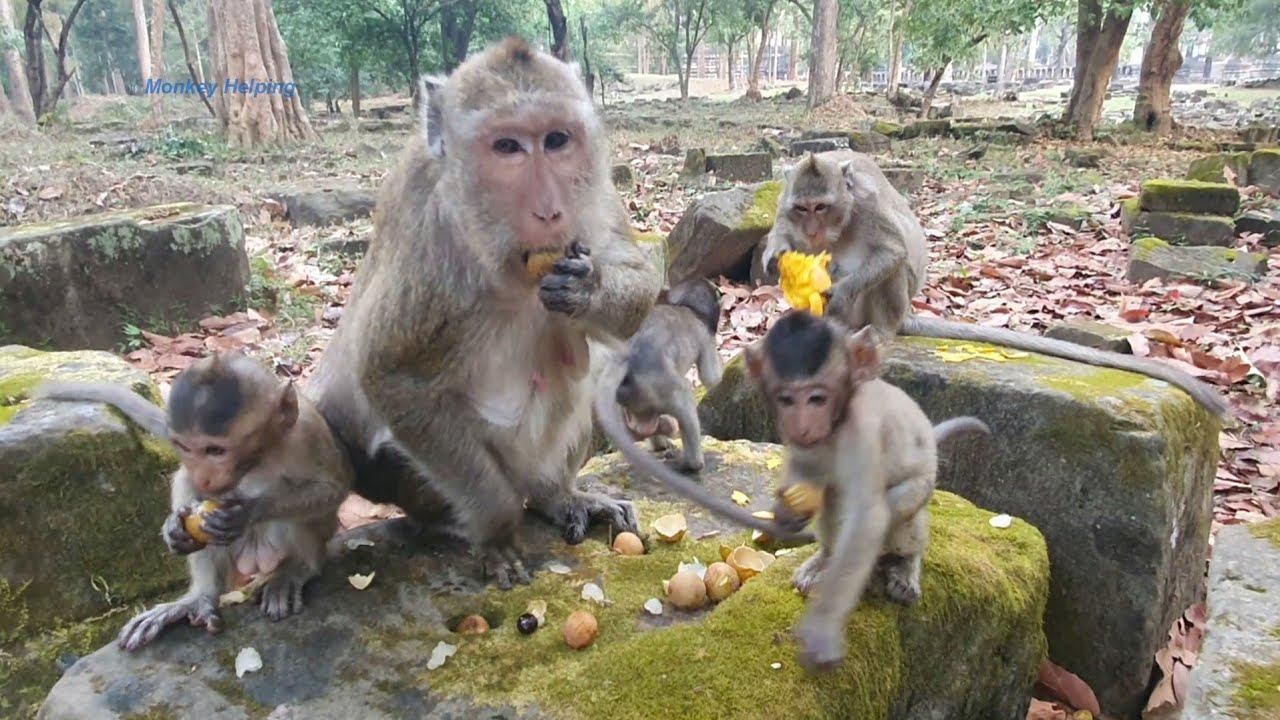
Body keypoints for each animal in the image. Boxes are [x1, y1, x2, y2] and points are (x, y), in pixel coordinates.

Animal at [33, 352, 354, 650]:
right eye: (184, 447)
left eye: (215, 450)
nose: (205, 476)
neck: (257, 459)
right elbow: (187, 483)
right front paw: (174, 527)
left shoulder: (308, 434)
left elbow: (332, 490)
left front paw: (249, 511)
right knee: (186, 484)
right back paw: (199, 599)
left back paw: (295, 570)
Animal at [303, 36, 663, 591]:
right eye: (507, 147)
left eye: (557, 140)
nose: (549, 210)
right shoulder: (431, 239)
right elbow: (393, 376)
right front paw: (496, 530)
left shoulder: (595, 192)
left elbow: (635, 287)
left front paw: (590, 288)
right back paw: (452, 521)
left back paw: (555, 494)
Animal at [612, 277, 725, 472]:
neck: (687, 307)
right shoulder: (705, 334)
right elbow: (711, 378)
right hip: (658, 388)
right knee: (684, 397)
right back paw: (692, 464)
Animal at [759, 150, 1229, 419]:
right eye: (803, 209)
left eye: (822, 207)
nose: (813, 229)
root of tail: (904, 315)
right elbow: (782, 233)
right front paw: (775, 259)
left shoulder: (868, 204)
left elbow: (893, 252)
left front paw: (836, 290)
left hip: (889, 305)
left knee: (893, 272)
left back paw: (871, 329)